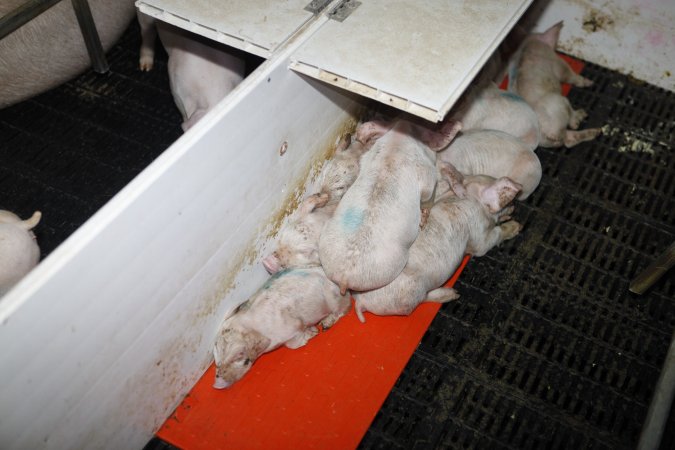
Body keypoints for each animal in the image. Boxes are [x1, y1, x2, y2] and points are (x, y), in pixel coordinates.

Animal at [214, 266, 352, 388]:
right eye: (217, 363)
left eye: (239, 356)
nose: (217, 384)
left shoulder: (293, 327)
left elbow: (292, 345)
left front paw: (313, 331)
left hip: (336, 300)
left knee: (345, 308)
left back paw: (325, 324)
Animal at [320, 117, 462, 296]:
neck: (397, 143)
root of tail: (344, 277)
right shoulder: (427, 176)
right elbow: (427, 193)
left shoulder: (367, 157)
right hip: (397, 262)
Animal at [354, 167, 524, 322]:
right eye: (507, 202)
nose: (514, 206)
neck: (473, 199)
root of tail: (362, 300)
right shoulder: (479, 237)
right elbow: (491, 239)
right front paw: (517, 226)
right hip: (410, 294)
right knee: (423, 299)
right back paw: (453, 294)